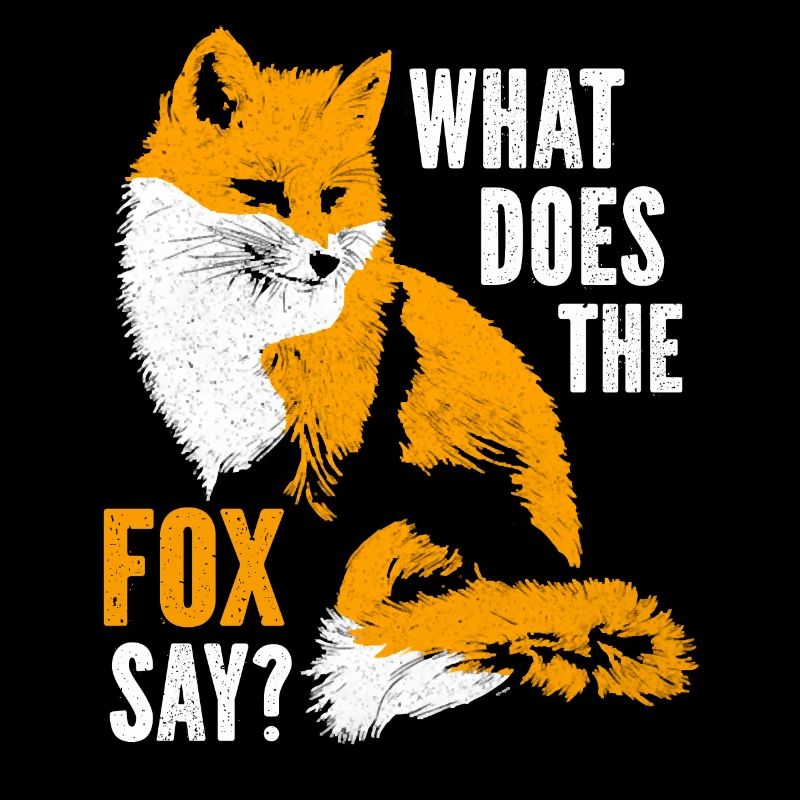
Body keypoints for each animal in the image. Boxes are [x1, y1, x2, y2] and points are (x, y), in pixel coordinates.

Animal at [119, 29, 695, 742]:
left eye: (332, 198)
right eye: (263, 193)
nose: (324, 261)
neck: (253, 335)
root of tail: (562, 576)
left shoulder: (332, 454)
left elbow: (301, 553)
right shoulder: (232, 452)